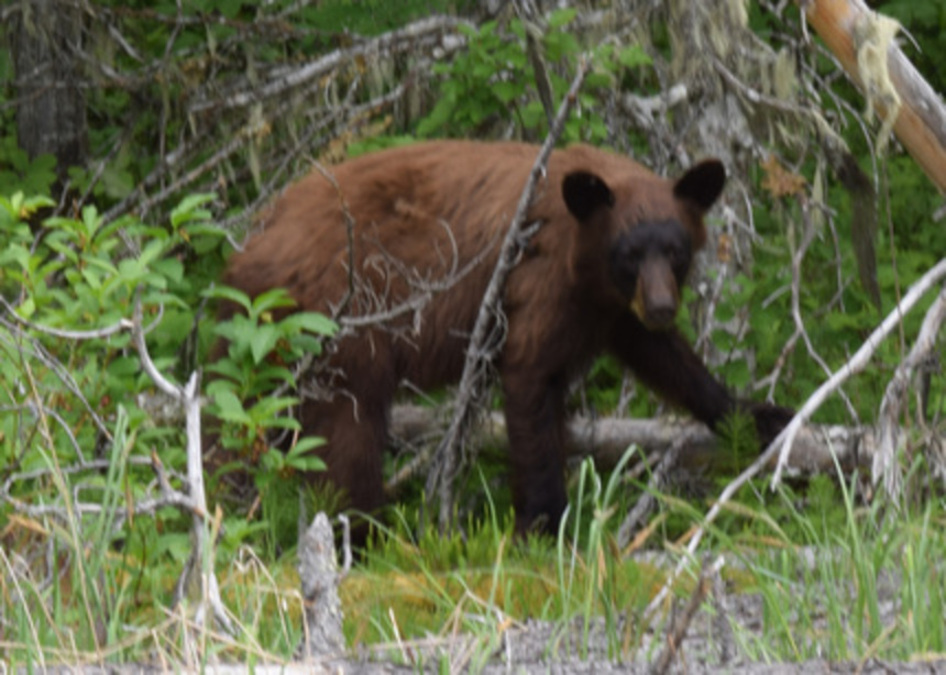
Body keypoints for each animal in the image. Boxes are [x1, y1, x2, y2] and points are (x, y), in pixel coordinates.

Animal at [216, 140, 788, 536]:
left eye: (675, 250)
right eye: (628, 254)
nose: (664, 307)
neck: (583, 258)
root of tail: (248, 250)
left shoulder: (613, 312)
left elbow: (666, 359)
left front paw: (755, 415)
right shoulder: (540, 286)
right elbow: (532, 384)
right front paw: (544, 524)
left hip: (268, 338)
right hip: (342, 319)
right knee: (346, 431)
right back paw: (361, 532)